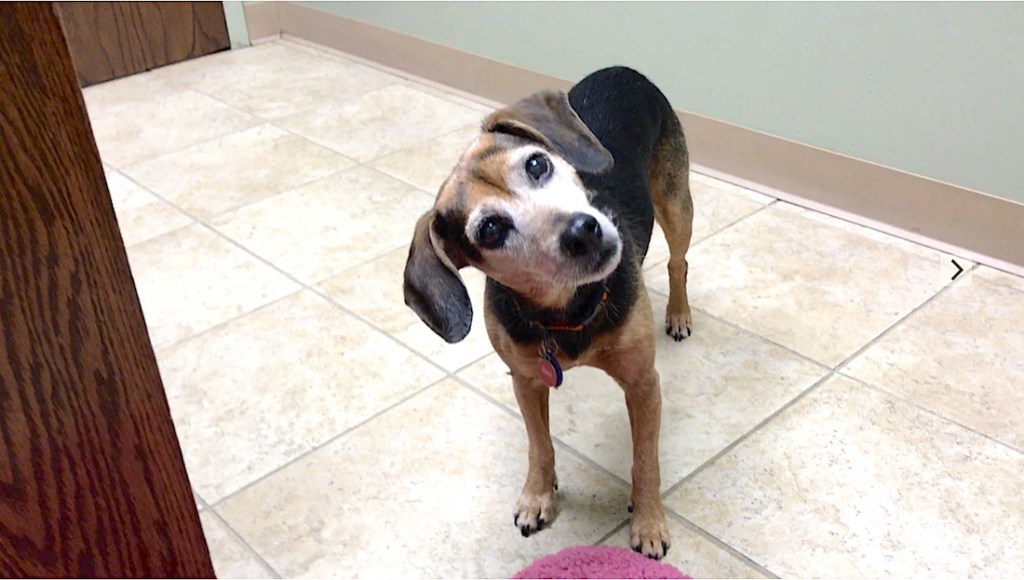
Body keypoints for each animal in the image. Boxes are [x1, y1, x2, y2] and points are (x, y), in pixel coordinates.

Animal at [403, 66, 692, 561]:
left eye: (537, 164)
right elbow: (539, 445)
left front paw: (649, 520)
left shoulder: (643, 383)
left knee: (678, 262)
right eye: (491, 230)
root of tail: (623, 69)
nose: (584, 230)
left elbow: (645, 460)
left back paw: (678, 314)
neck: (567, 309)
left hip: (676, 203)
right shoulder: (525, 380)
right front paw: (538, 496)